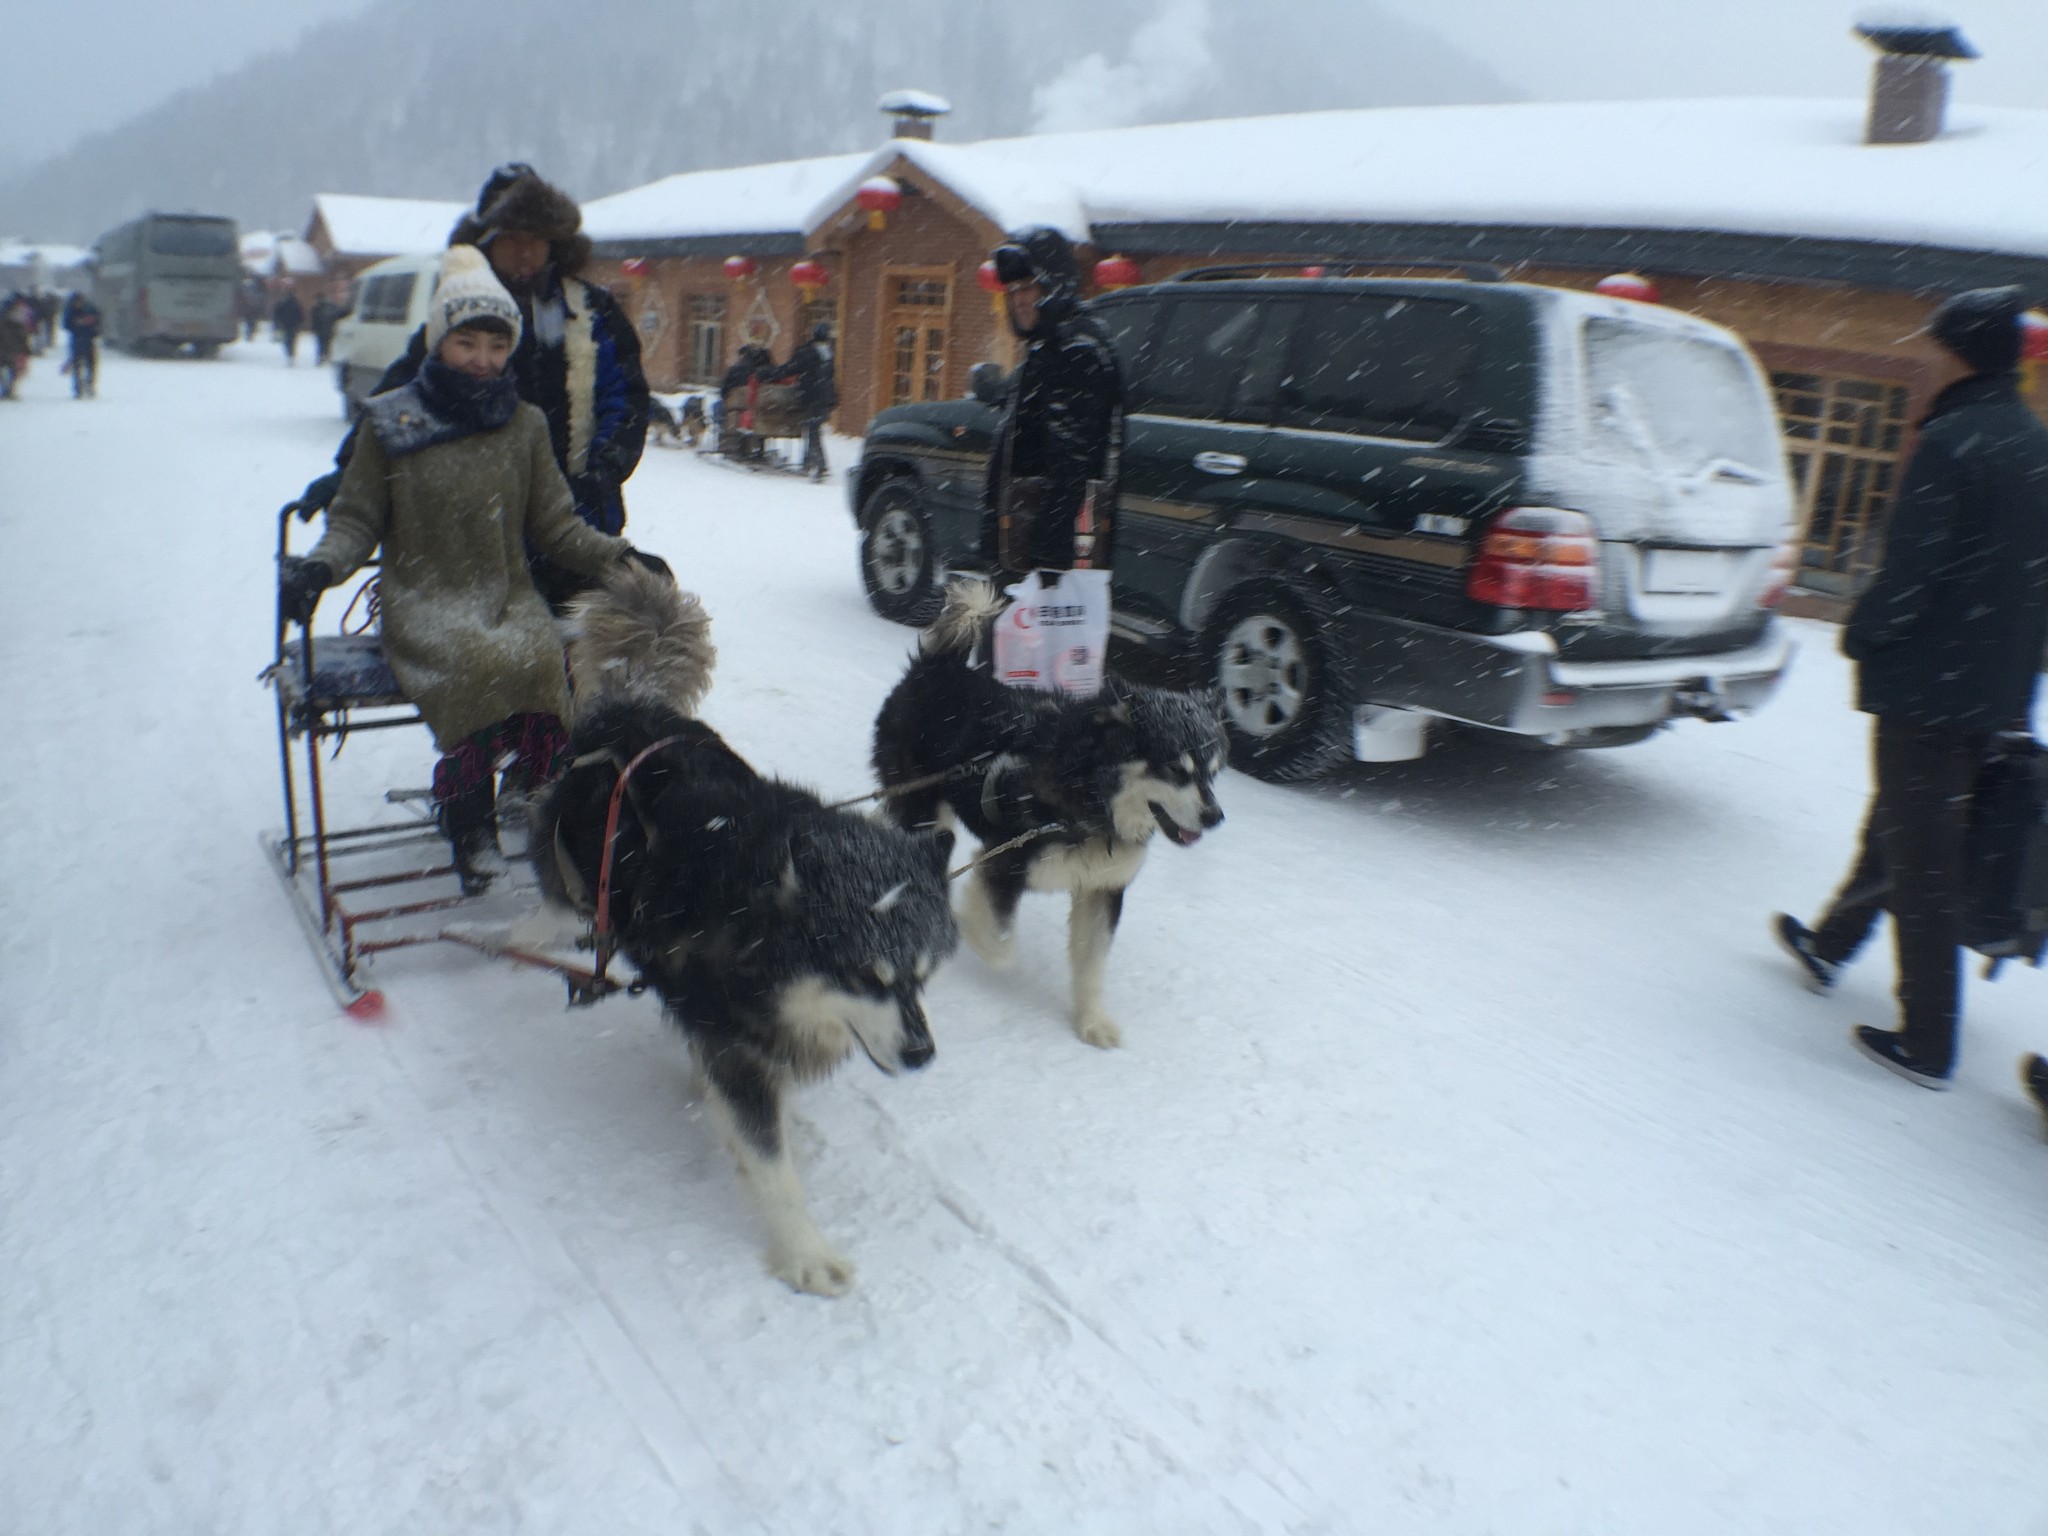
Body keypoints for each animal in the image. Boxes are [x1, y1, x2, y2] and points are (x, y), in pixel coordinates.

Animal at [540, 569, 962, 1302]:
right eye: (865, 975)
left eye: (923, 975)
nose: (921, 1055)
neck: (745, 918)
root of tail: (629, 704)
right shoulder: (736, 1048)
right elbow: (773, 1167)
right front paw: (805, 1252)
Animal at [864, 581, 1212, 1056]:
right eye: (1176, 769)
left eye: (1214, 771)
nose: (1215, 816)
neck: (1090, 794)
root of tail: (938, 668)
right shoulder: (1004, 862)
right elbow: (1000, 945)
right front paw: (964, 925)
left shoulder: (1102, 890)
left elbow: (1091, 962)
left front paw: (1092, 1020)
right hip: (922, 805)